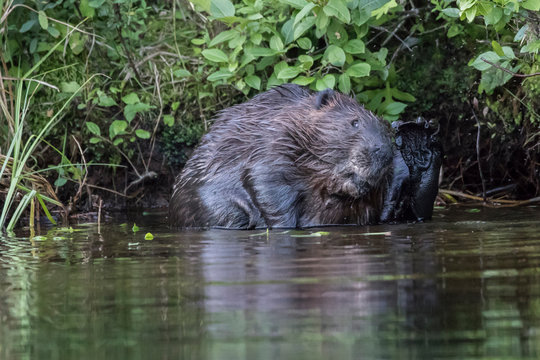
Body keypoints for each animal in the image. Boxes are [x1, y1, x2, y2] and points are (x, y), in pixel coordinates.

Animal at [170, 84, 396, 228]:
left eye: (387, 130)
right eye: (354, 122)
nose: (384, 152)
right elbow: (265, 183)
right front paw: (282, 224)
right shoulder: (273, 145)